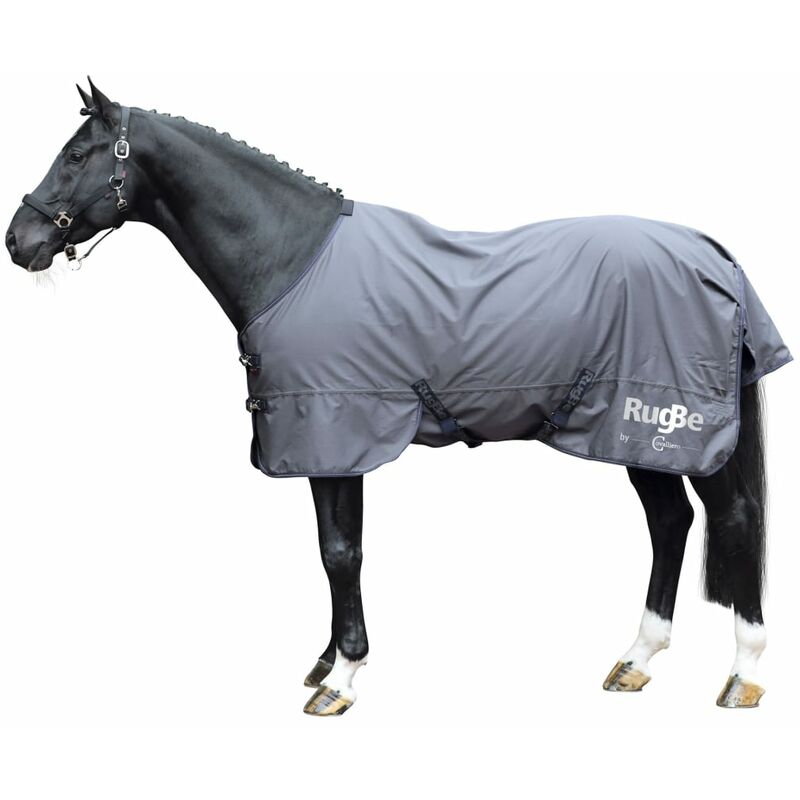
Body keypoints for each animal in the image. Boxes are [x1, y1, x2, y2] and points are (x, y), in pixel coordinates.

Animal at [6, 79, 792, 716]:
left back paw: (742, 674)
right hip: (630, 435)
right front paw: (326, 660)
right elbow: (329, 551)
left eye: (76, 154)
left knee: (736, 518)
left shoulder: (337, 433)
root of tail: (713, 253)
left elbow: (341, 552)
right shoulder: (323, 442)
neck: (290, 259)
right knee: (670, 522)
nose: (20, 239)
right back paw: (636, 660)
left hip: (681, 429)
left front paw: (341, 678)